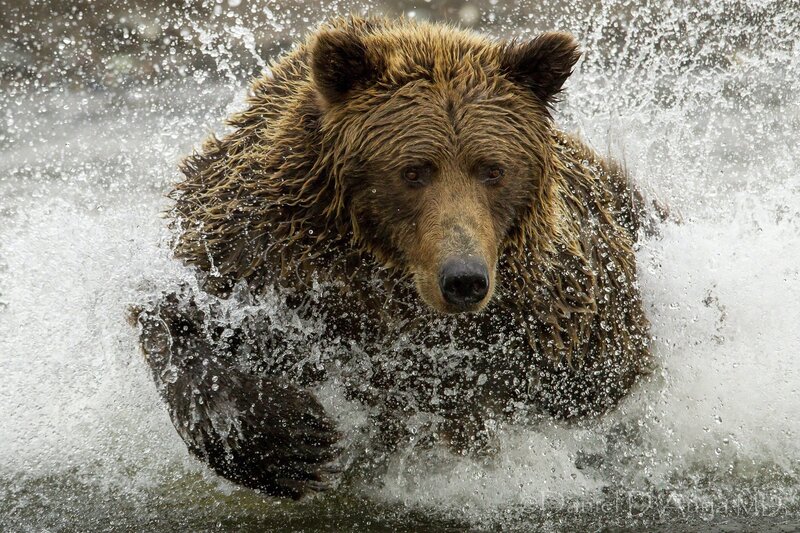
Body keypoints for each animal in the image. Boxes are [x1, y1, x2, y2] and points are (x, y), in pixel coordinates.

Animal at [134, 16, 653, 500]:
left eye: (493, 169)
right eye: (413, 171)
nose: (464, 279)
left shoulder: (555, 304)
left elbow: (596, 378)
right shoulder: (255, 258)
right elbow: (174, 316)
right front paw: (293, 442)